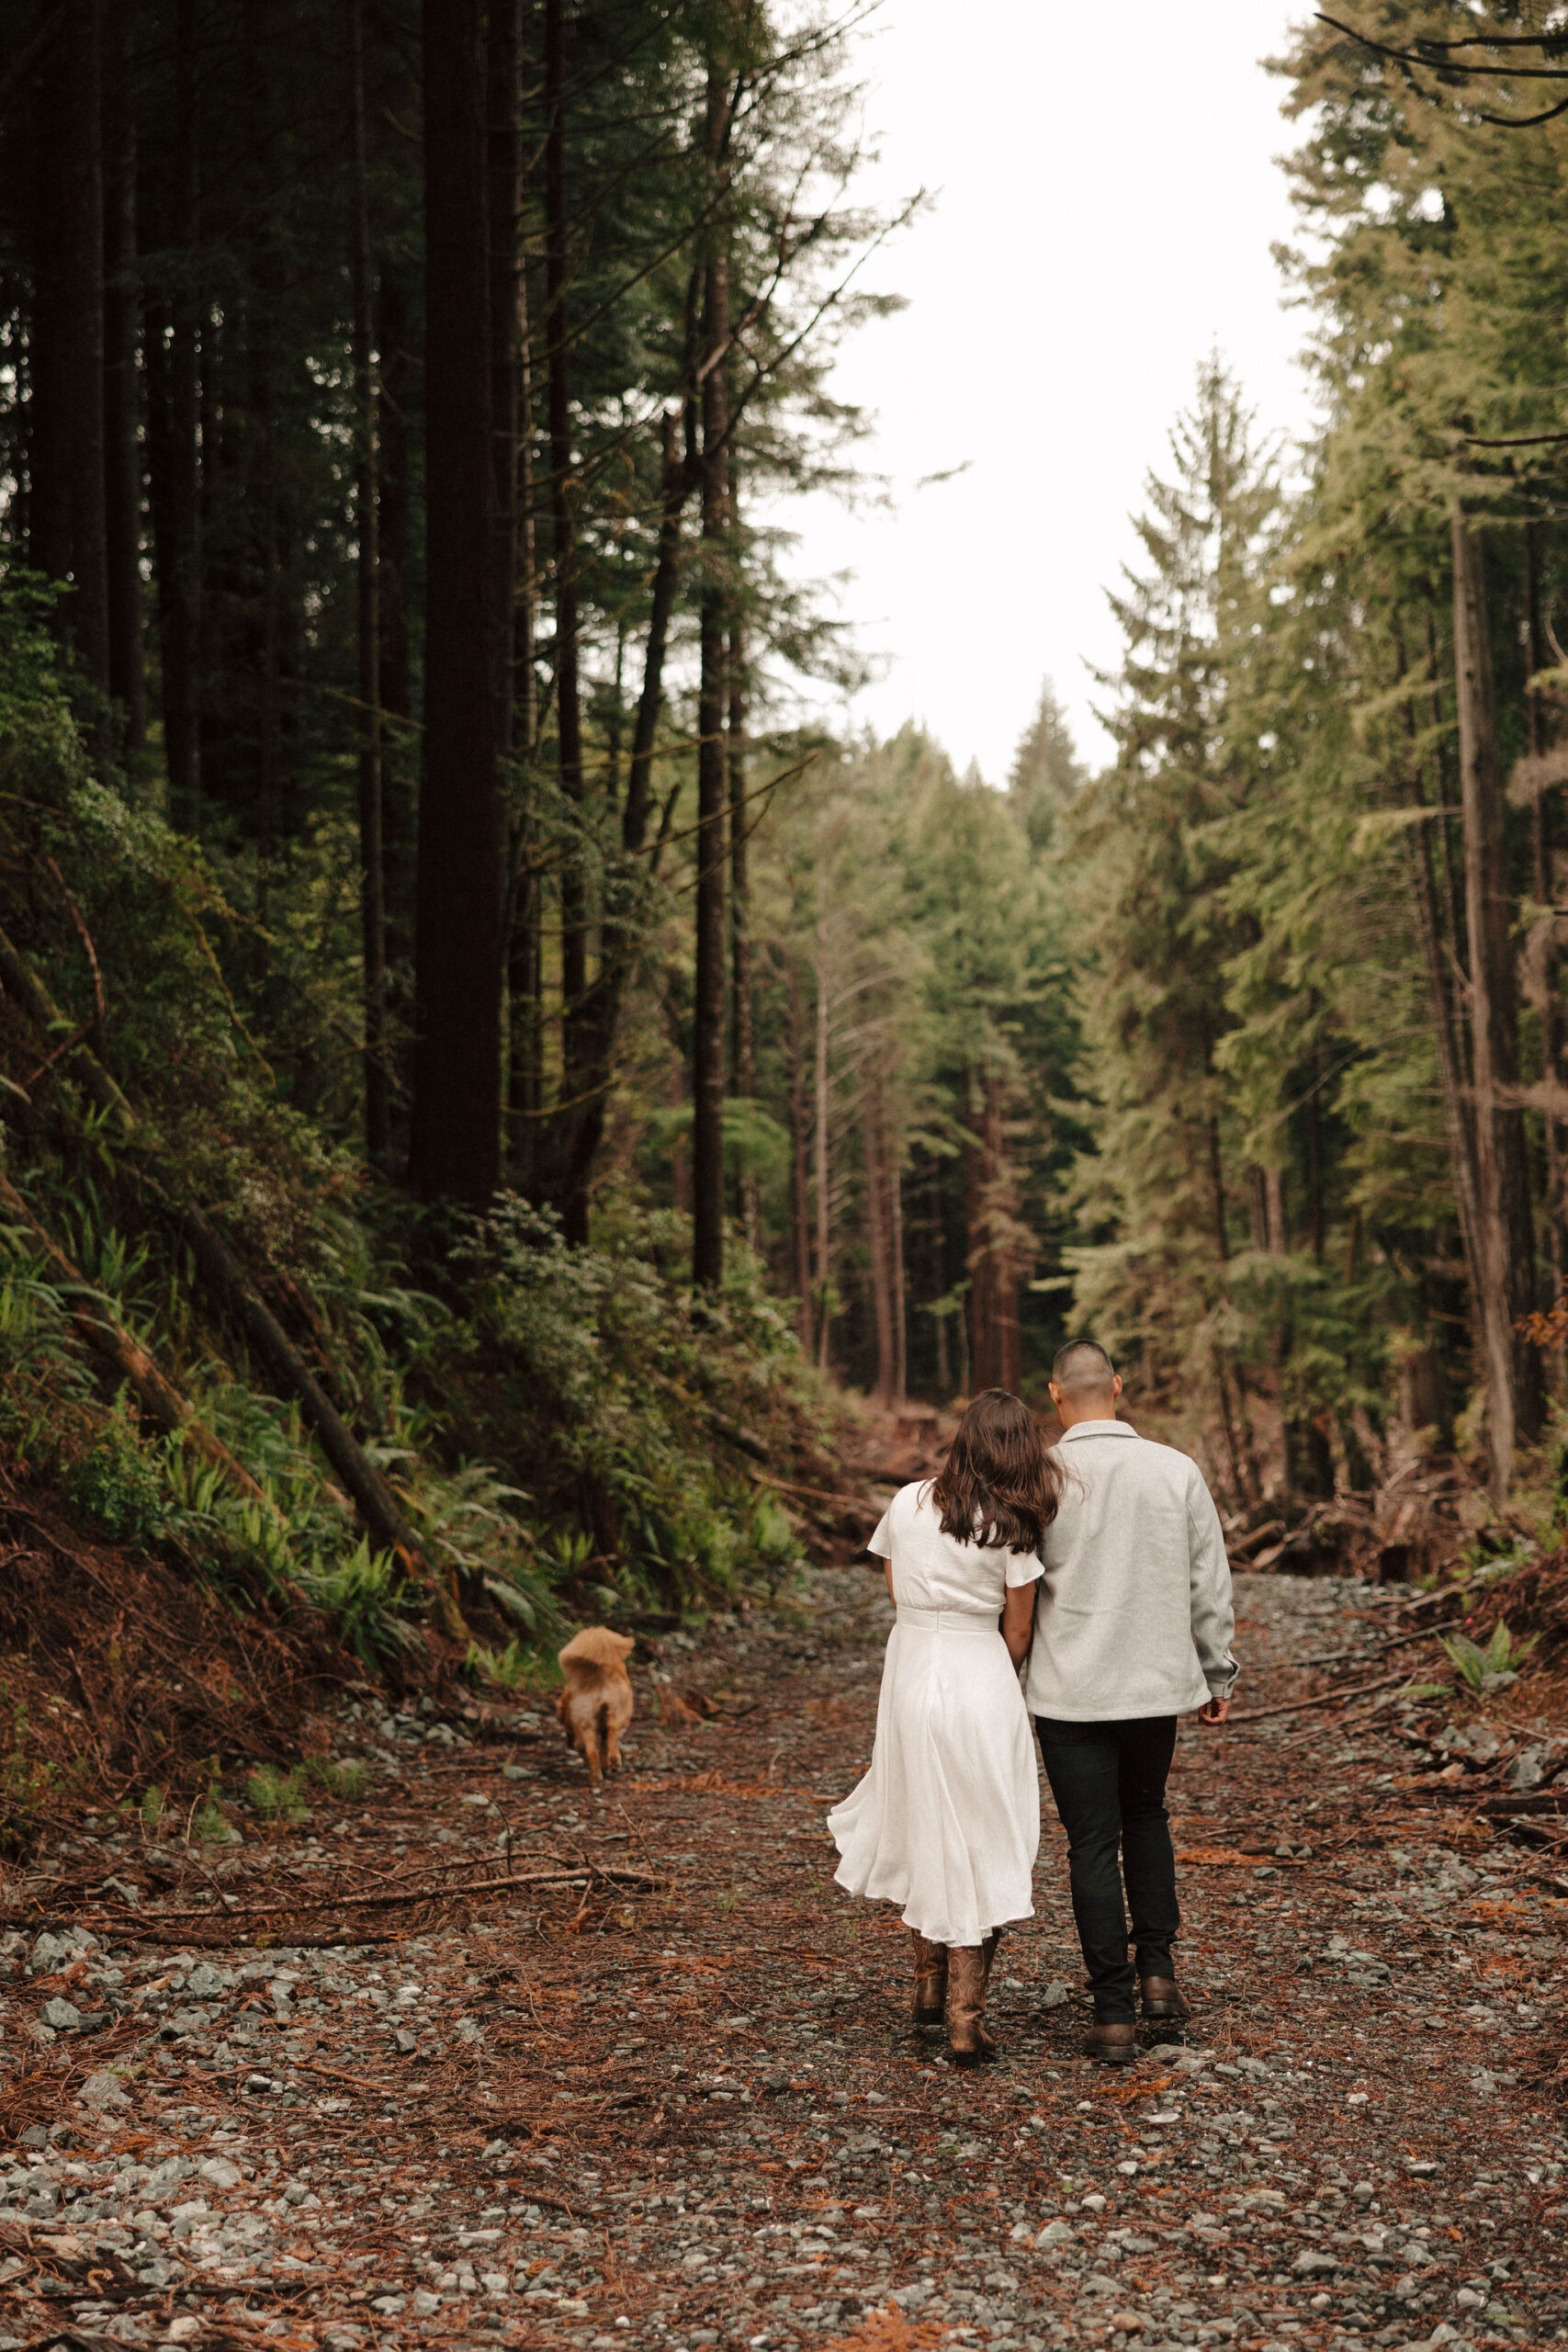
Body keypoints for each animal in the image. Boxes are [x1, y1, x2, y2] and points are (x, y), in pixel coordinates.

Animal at [554, 1636, 634, 1778]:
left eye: (565, 1724)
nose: (568, 1744)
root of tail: (597, 1673)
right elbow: (606, 1744)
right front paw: (608, 1764)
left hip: (587, 1723)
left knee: (591, 1751)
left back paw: (596, 1777)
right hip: (615, 1712)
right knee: (612, 1730)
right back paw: (613, 1761)